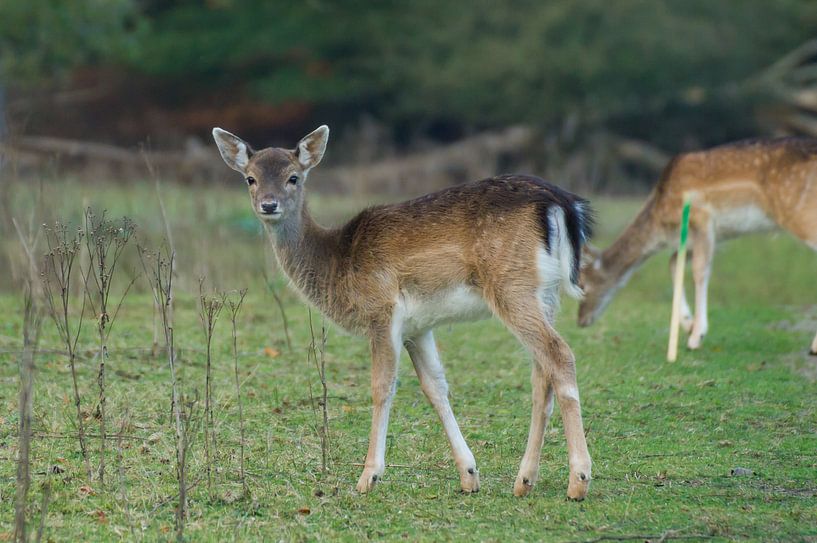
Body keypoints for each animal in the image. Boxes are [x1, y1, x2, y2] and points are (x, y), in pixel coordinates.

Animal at [210, 125, 592, 500]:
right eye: (250, 178)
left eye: (293, 177)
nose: (268, 204)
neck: (338, 261)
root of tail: (561, 202)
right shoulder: (417, 327)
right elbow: (435, 387)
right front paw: (469, 475)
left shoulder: (381, 310)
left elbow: (382, 386)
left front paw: (368, 477)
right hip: (545, 293)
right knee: (541, 373)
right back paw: (524, 481)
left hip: (512, 285)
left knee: (559, 354)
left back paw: (578, 480)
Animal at [576, 138, 816, 354]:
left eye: (583, 285)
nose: (580, 320)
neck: (662, 225)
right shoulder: (703, 238)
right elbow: (674, 263)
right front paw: (688, 324)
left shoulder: (702, 220)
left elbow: (700, 271)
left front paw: (696, 336)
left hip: (800, 213)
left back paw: (813, 346)